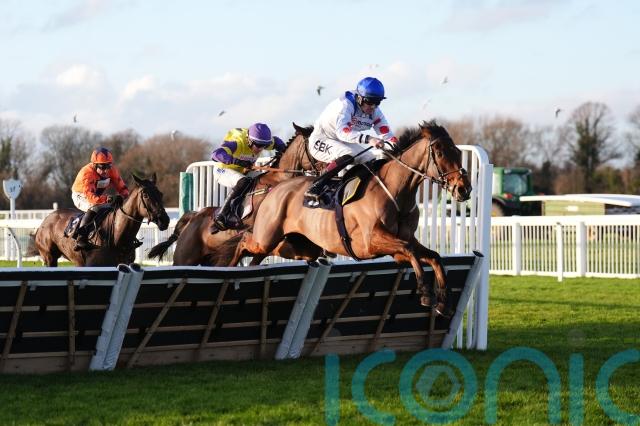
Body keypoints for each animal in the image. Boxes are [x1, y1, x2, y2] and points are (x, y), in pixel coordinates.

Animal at [28, 173, 170, 266]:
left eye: (160, 194)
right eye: (145, 195)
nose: (164, 220)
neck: (117, 235)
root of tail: (44, 222)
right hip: (49, 257)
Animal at [229, 120, 472, 314]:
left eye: (458, 152)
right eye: (440, 153)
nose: (464, 189)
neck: (395, 190)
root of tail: (275, 189)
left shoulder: (400, 246)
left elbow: (433, 256)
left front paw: (443, 301)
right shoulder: (370, 242)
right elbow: (411, 251)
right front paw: (425, 292)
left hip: (297, 246)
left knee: (256, 256)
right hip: (266, 238)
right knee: (244, 242)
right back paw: (229, 267)